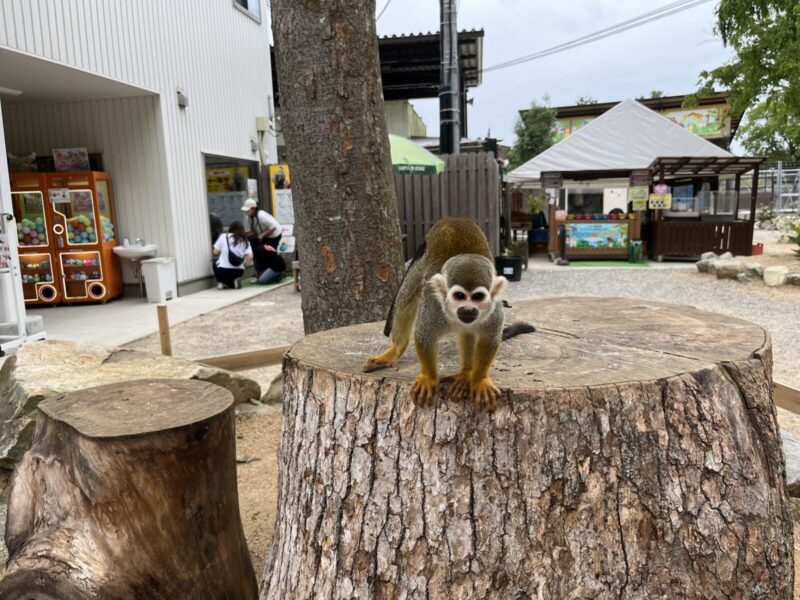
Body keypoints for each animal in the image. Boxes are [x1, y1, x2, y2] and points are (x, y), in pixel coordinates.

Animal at [364, 218, 512, 410]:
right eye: (459, 296)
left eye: (478, 297)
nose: (468, 310)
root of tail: (455, 218)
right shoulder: (434, 306)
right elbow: (424, 334)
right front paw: (429, 378)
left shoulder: (493, 311)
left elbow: (489, 338)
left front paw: (479, 380)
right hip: (421, 263)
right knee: (408, 293)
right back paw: (396, 348)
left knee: (467, 332)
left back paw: (466, 373)